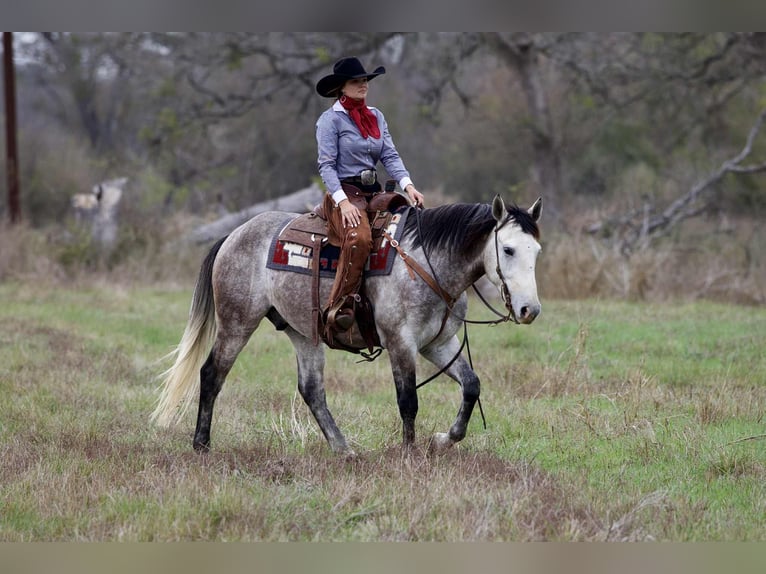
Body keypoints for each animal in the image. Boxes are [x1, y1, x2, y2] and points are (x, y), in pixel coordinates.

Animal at [151, 195, 542, 454]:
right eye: (508, 249)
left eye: (536, 251)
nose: (530, 309)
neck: (426, 262)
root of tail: (233, 235)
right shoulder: (401, 343)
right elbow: (408, 400)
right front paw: (410, 453)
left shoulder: (438, 344)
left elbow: (471, 385)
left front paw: (445, 439)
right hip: (237, 323)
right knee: (212, 374)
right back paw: (201, 445)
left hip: (303, 332)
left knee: (311, 389)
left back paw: (343, 448)